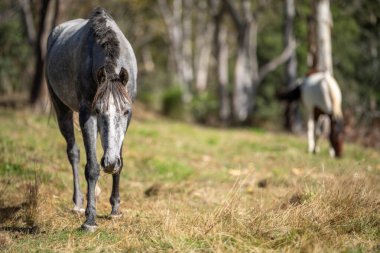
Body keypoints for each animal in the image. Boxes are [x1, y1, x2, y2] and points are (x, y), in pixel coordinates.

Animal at [45, 6, 138, 231]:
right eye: (98, 110)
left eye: (125, 111)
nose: (110, 163)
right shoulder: (87, 114)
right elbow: (92, 167)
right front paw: (90, 220)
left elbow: (120, 161)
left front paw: (115, 209)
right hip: (62, 110)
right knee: (74, 153)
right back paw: (78, 203)